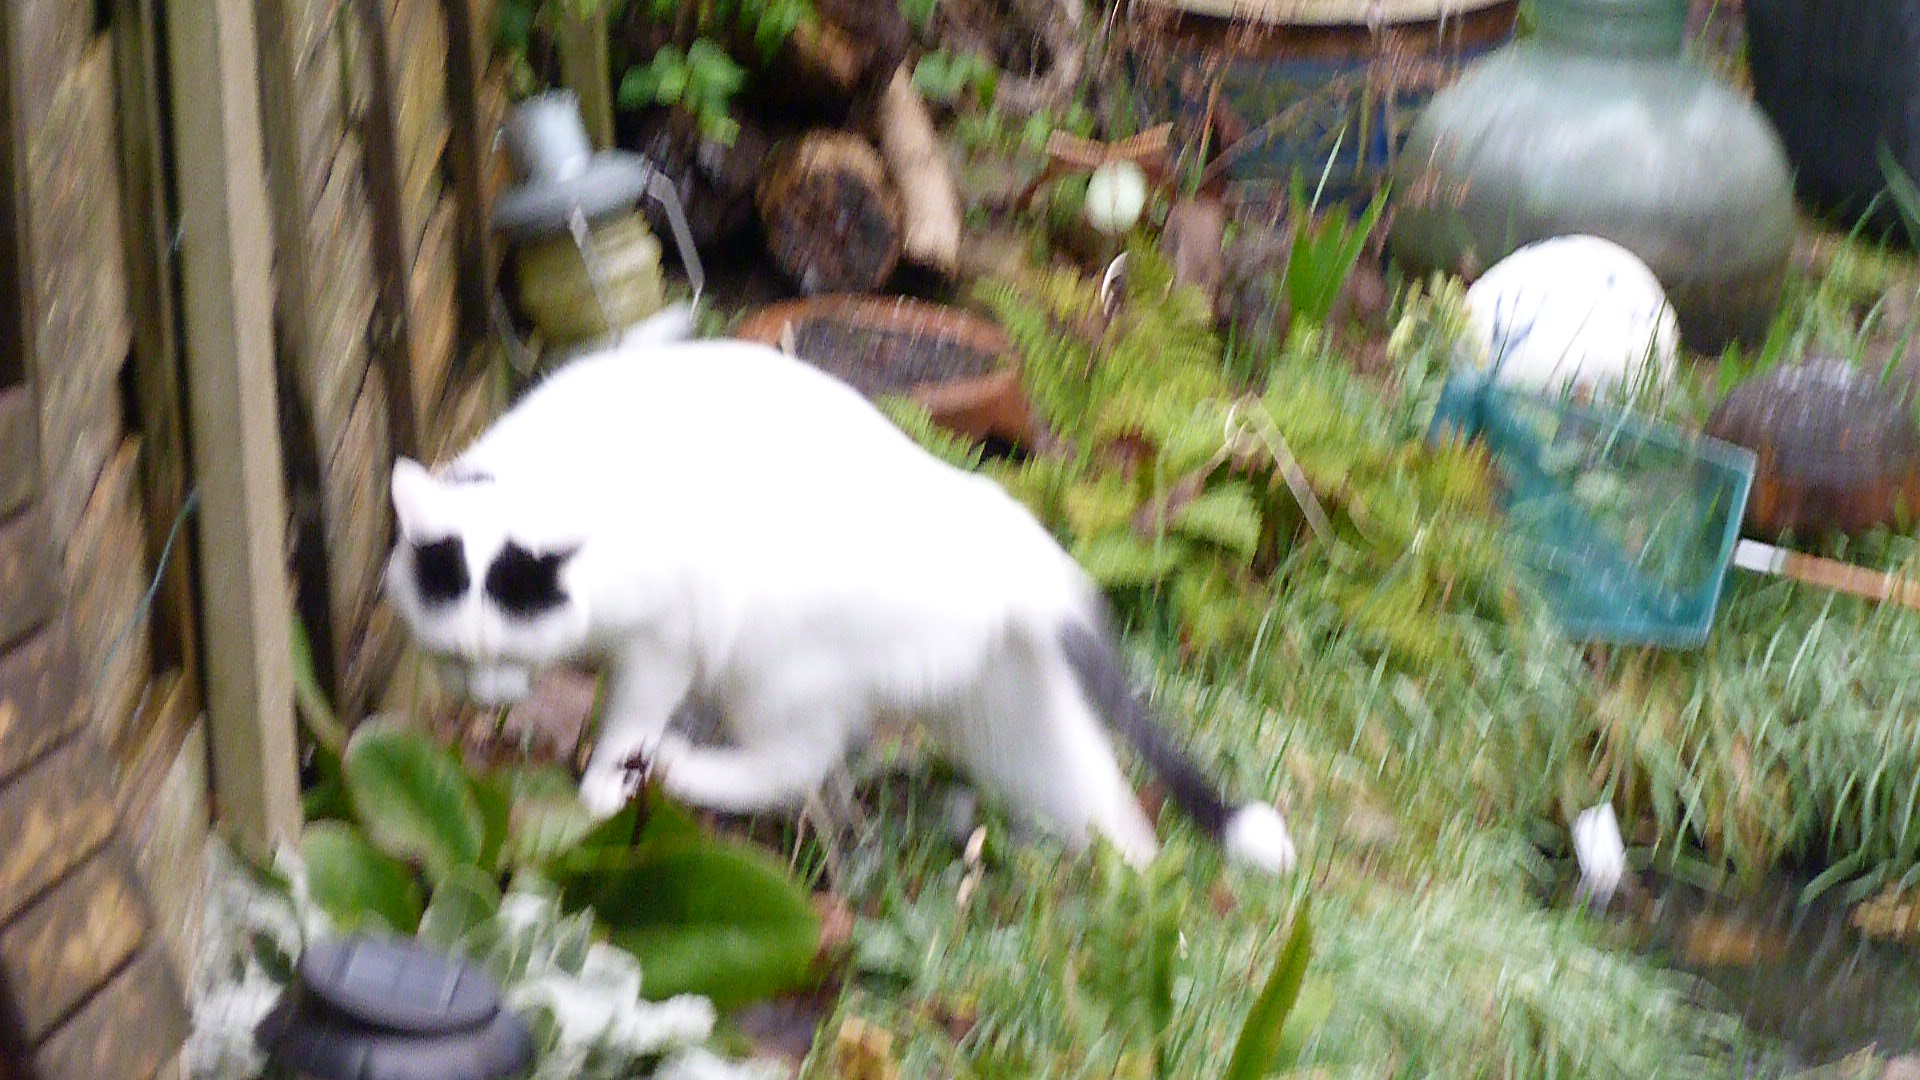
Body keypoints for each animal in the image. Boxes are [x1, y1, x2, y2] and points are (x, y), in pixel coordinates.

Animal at [383, 306, 1296, 873]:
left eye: (502, 653)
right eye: (456, 658)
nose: (483, 695)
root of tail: (1023, 558)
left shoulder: (663, 644)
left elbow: (626, 723)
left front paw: (603, 787)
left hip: (776, 669)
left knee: (798, 762)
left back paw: (679, 769)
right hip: (1008, 714)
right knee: (1103, 808)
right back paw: (1130, 880)